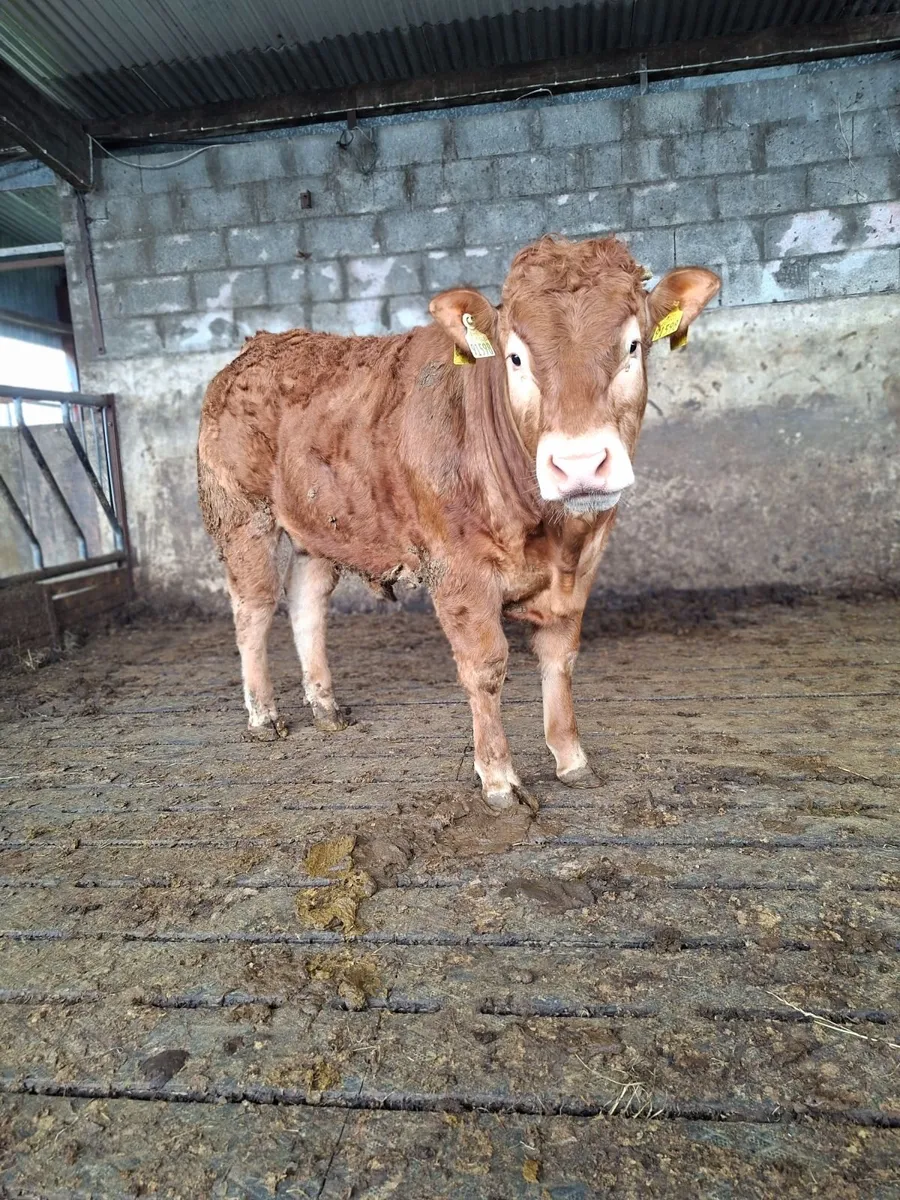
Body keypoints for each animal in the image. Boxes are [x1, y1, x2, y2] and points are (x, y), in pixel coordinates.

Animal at [198, 235, 720, 814]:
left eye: (632, 347)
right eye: (515, 357)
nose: (581, 464)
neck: (552, 535)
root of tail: (259, 346)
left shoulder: (582, 568)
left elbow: (559, 658)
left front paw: (571, 759)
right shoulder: (458, 572)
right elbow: (486, 667)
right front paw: (498, 779)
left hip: (322, 524)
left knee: (306, 603)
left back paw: (326, 708)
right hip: (241, 515)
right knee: (254, 608)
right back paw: (264, 716)